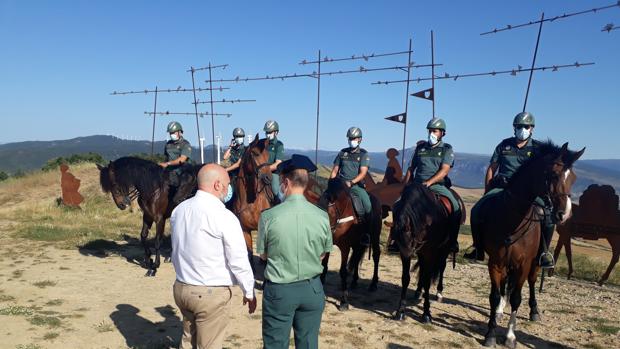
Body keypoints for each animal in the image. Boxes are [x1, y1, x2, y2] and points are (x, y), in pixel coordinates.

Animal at [320, 179, 382, 310]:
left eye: (327, 213)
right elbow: (324, 267)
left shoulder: (345, 247)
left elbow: (343, 271)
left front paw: (344, 301)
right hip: (357, 242)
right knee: (357, 256)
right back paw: (354, 281)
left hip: (374, 236)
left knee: (376, 256)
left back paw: (373, 284)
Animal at [390, 181, 462, 322]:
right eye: (399, 242)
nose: (408, 254)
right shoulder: (408, 252)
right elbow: (405, 278)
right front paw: (400, 311)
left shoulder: (429, 252)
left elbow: (428, 280)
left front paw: (427, 313)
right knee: (423, 269)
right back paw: (418, 290)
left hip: (444, 250)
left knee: (441, 267)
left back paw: (439, 292)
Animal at [474, 142, 588, 348]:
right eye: (554, 175)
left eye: (573, 178)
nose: (565, 214)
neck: (512, 220)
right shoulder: (495, 263)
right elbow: (495, 296)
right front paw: (491, 333)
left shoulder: (524, 264)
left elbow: (517, 298)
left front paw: (510, 336)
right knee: (505, 286)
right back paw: (500, 310)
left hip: (534, 263)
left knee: (532, 282)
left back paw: (534, 311)